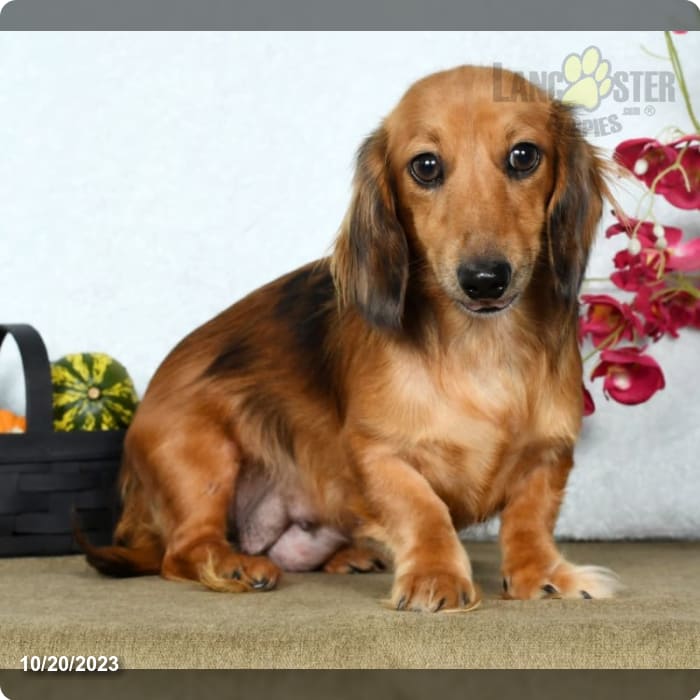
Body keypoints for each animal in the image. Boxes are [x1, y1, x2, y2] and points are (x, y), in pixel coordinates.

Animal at [79, 67, 620, 612]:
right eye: (425, 166)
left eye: (524, 155)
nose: (485, 280)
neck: (481, 348)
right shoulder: (378, 453)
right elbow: (424, 510)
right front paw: (435, 575)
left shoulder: (549, 454)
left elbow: (530, 520)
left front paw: (542, 574)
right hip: (201, 454)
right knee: (183, 551)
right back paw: (234, 565)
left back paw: (347, 556)